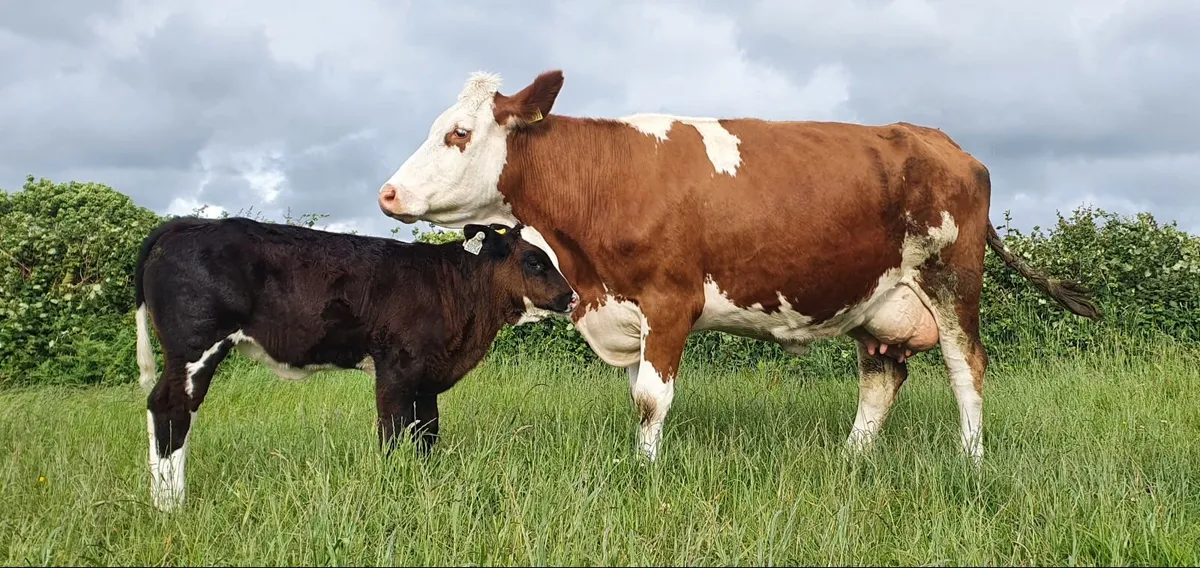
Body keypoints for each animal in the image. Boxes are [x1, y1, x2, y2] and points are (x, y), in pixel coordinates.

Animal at [133, 216, 577, 511]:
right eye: (535, 260)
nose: (571, 297)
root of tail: (183, 225)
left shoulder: (428, 376)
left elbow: (427, 430)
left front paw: (425, 481)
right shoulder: (396, 367)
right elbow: (394, 430)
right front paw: (395, 487)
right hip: (195, 346)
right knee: (171, 408)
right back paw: (171, 505)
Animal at [375, 69, 1102, 465]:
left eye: (459, 134)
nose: (388, 193)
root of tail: (946, 144)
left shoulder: (672, 299)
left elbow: (651, 398)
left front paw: (645, 474)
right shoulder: (627, 308)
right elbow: (638, 397)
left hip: (951, 279)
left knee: (966, 368)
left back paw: (971, 461)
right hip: (878, 300)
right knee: (882, 377)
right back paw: (851, 460)